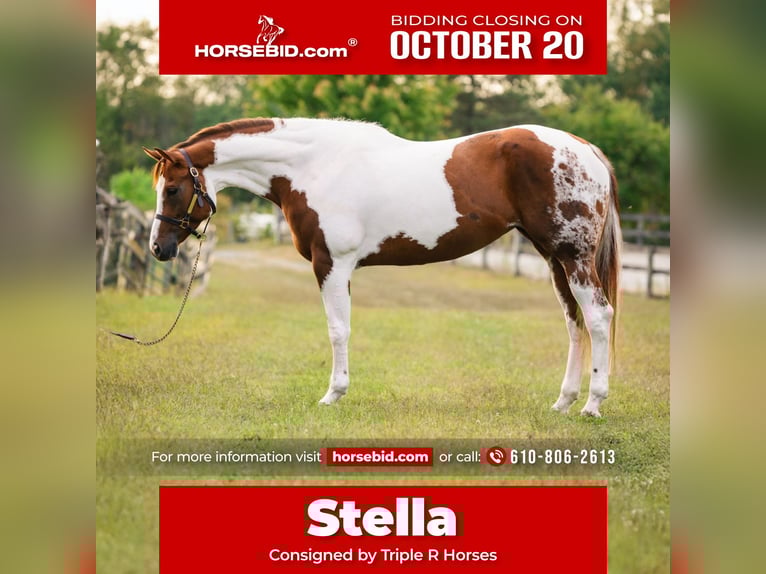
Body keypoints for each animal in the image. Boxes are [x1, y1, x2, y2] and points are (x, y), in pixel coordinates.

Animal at [143, 118, 621, 417]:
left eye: (172, 189)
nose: (158, 248)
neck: (313, 167)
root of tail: (586, 149)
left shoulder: (332, 264)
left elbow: (338, 330)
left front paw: (333, 394)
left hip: (573, 257)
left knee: (598, 317)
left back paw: (593, 404)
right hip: (554, 258)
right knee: (574, 322)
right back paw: (563, 402)